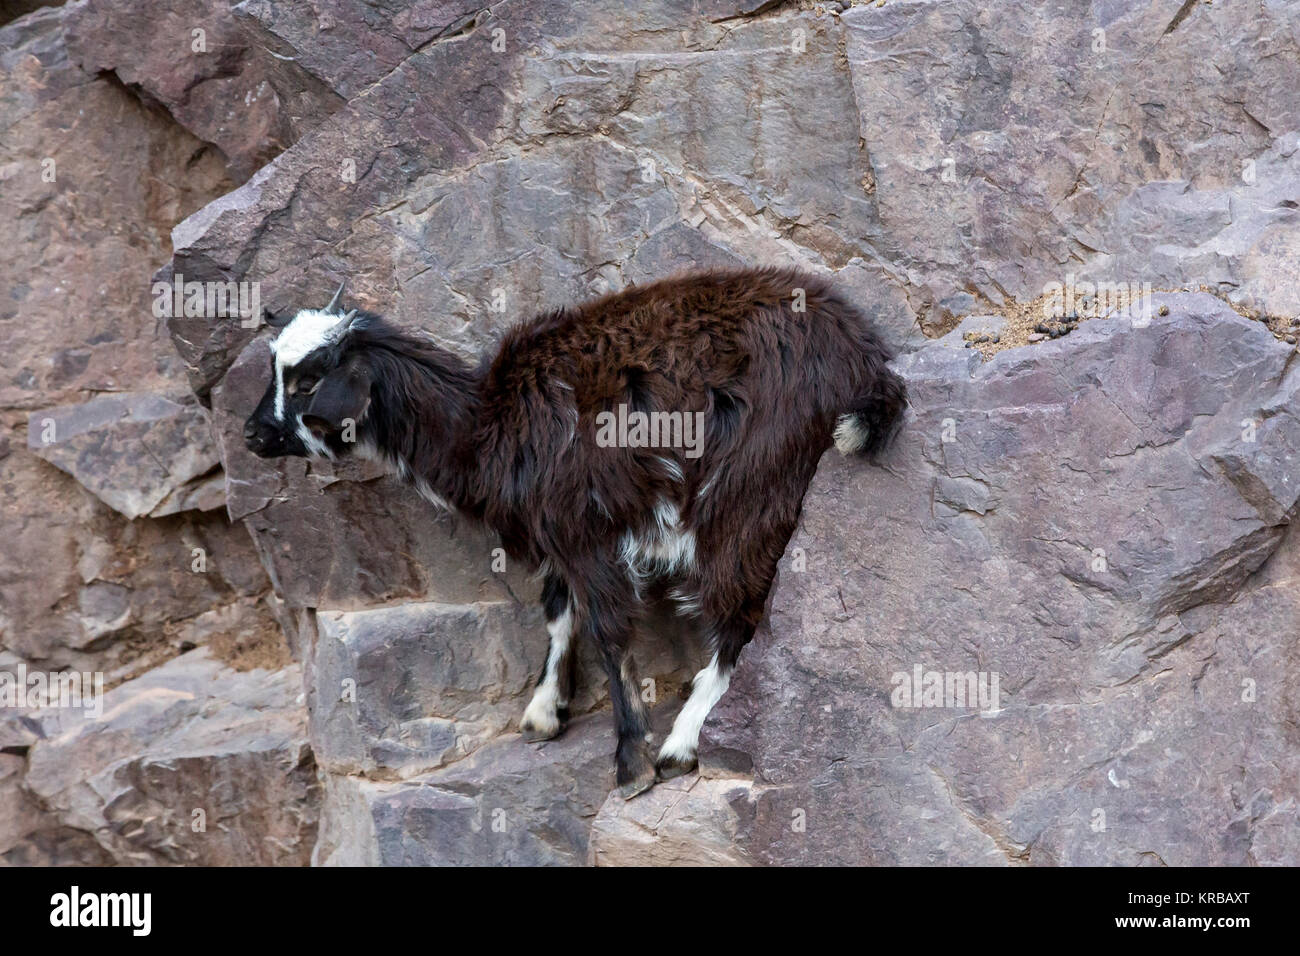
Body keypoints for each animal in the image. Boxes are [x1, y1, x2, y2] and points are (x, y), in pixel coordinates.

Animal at [244, 268, 906, 797]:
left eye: (306, 382)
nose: (252, 435)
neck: (485, 425)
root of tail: (867, 363)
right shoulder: (555, 531)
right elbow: (559, 611)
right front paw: (544, 710)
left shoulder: (586, 529)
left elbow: (610, 634)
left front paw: (632, 765)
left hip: (751, 482)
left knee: (738, 610)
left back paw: (683, 741)